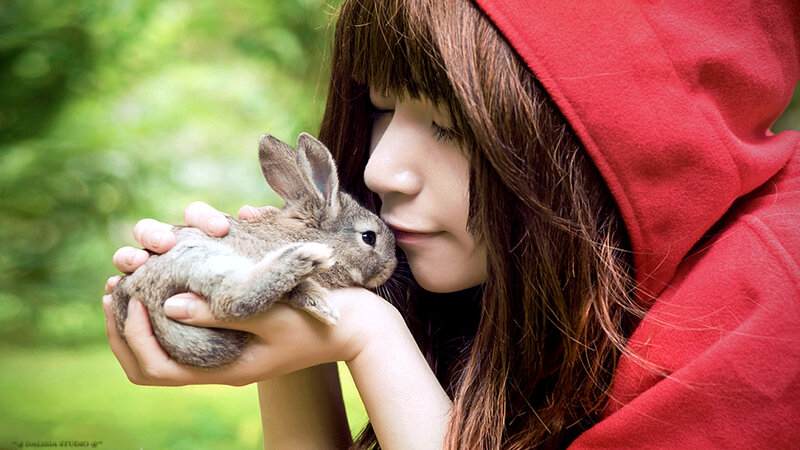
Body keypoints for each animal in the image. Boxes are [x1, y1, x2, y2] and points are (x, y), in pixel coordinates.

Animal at [111, 132, 397, 368]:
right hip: (203, 257)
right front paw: (322, 304)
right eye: (369, 237)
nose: (391, 267)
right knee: (230, 301)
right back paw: (304, 258)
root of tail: (137, 296)